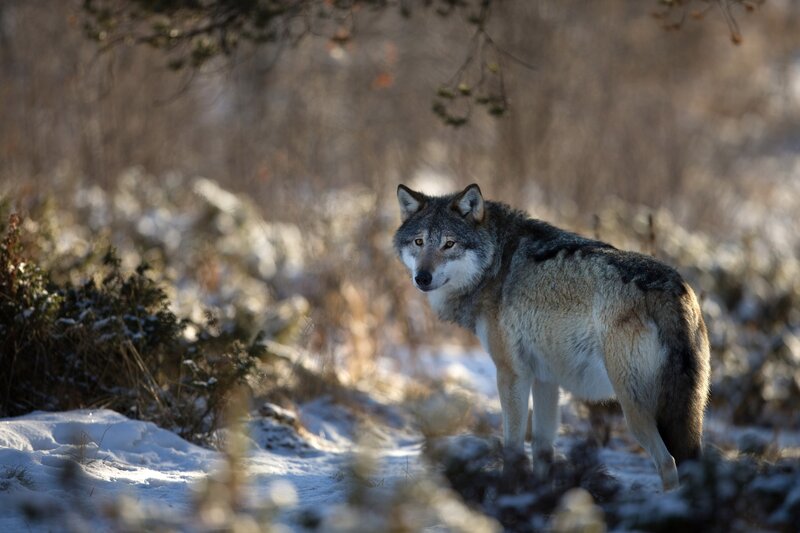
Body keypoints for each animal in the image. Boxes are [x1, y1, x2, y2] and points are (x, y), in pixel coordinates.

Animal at [394, 183, 710, 491]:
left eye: (449, 244)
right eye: (419, 242)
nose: (422, 278)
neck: (496, 261)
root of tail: (673, 290)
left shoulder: (511, 374)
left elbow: (513, 447)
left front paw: (509, 491)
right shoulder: (546, 378)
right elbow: (543, 450)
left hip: (633, 411)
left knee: (667, 463)